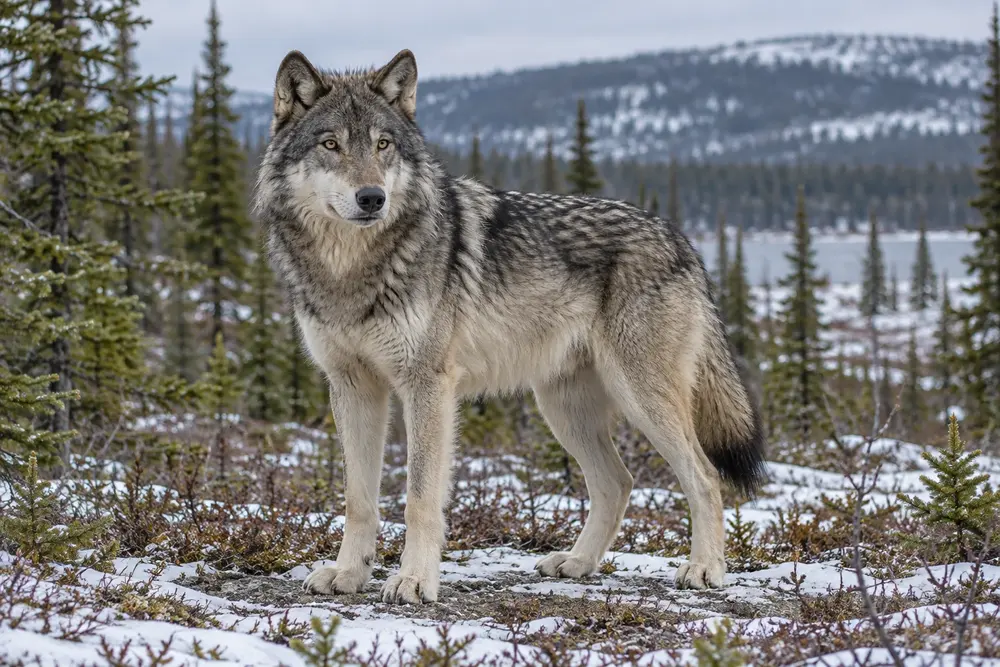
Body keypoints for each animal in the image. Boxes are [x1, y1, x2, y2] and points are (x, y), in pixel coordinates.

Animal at [253, 48, 768, 605]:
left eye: (382, 145)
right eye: (331, 144)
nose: (372, 198)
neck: (351, 271)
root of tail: (681, 239)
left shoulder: (427, 386)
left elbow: (419, 498)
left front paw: (413, 580)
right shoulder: (352, 388)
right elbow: (358, 499)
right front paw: (349, 573)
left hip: (641, 398)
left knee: (705, 477)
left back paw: (705, 569)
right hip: (563, 409)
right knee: (619, 482)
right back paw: (578, 563)